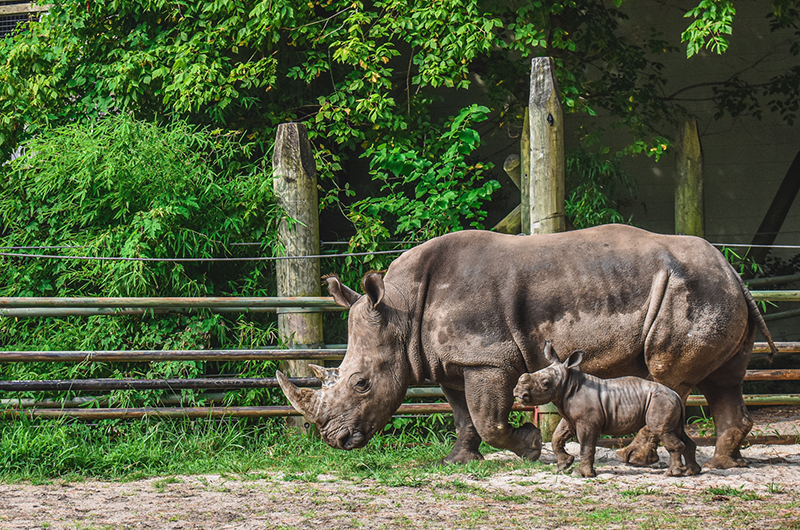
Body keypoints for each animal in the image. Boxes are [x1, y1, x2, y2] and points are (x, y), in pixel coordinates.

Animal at [514, 341, 701, 477]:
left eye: (545, 383)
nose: (518, 393)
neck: (568, 383)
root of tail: (675, 394)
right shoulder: (570, 417)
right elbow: (557, 437)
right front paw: (563, 466)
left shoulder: (587, 422)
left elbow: (586, 446)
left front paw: (581, 474)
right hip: (669, 402)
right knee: (677, 432)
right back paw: (691, 472)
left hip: (661, 402)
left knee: (662, 431)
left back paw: (672, 474)